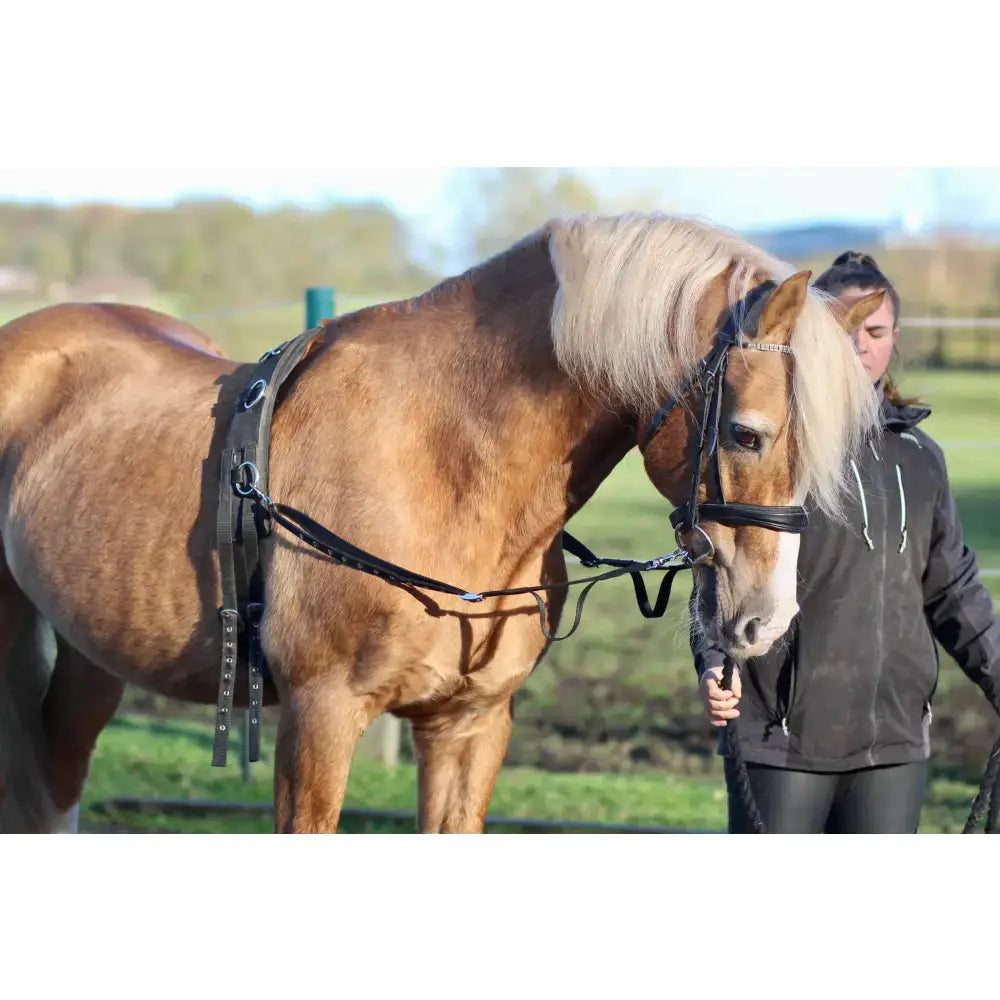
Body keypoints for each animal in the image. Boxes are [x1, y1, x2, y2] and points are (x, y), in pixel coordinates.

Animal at [0, 213, 881, 833]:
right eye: (746, 434)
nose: (764, 620)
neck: (443, 467)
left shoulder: (470, 726)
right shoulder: (320, 720)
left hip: (90, 653)